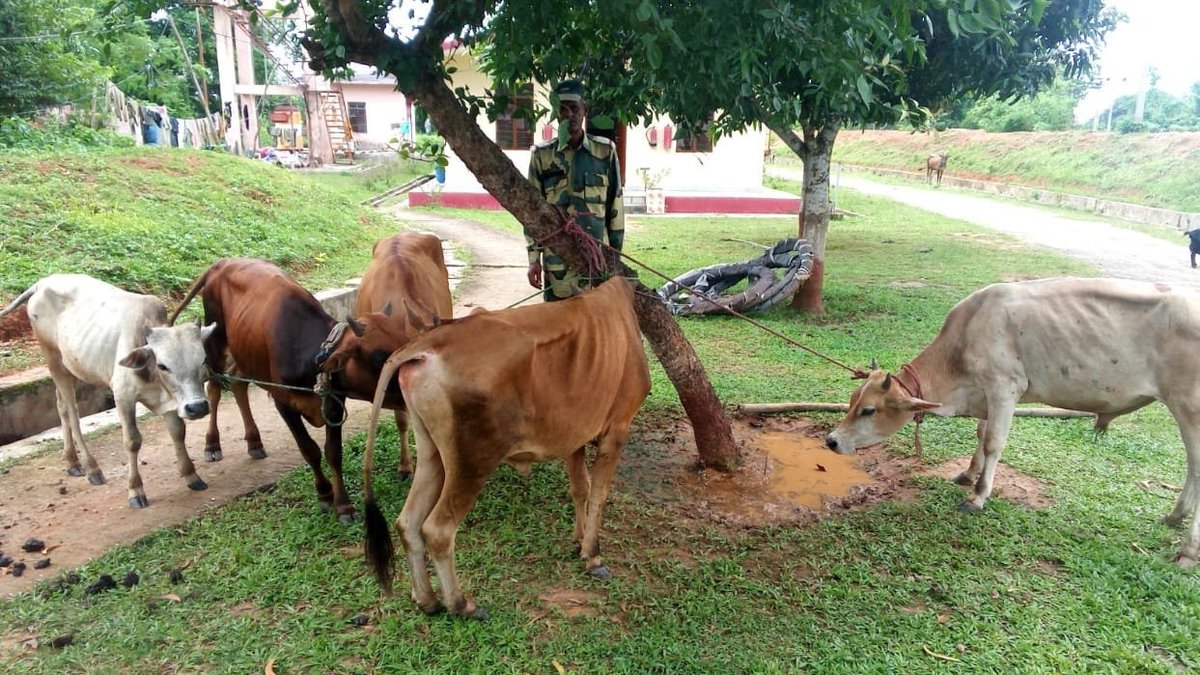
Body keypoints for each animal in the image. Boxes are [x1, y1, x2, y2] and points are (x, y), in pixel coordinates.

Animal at [0, 274, 214, 508]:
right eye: (163, 365)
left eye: (203, 359)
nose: (197, 407)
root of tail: (43, 282)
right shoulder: (123, 396)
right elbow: (132, 441)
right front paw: (135, 490)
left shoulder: (170, 401)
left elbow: (178, 431)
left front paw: (191, 475)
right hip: (53, 359)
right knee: (72, 413)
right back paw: (92, 468)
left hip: (72, 365)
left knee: (60, 405)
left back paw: (72, 462)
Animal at [360, 276, 651, 619]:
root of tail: (428, 344)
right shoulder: (616, 430)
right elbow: (598, 495)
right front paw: (593, 555)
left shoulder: (573, 438)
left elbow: (580, 488)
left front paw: (578, 542)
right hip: (472, 463)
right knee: (438, 530)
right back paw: (461, 604)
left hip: (433, 454)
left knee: (408, 523)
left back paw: (428, 600)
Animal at [824, 277, 1200, 568]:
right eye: (852, 399)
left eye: (869, 410)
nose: (832, 440)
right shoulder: (986, 395)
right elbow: (980, 433)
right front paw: (968, 474)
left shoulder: (1005, 388)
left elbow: (993, 441)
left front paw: (977, 496)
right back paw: (1174, 516)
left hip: (1188, 407)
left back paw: (1187, 550)